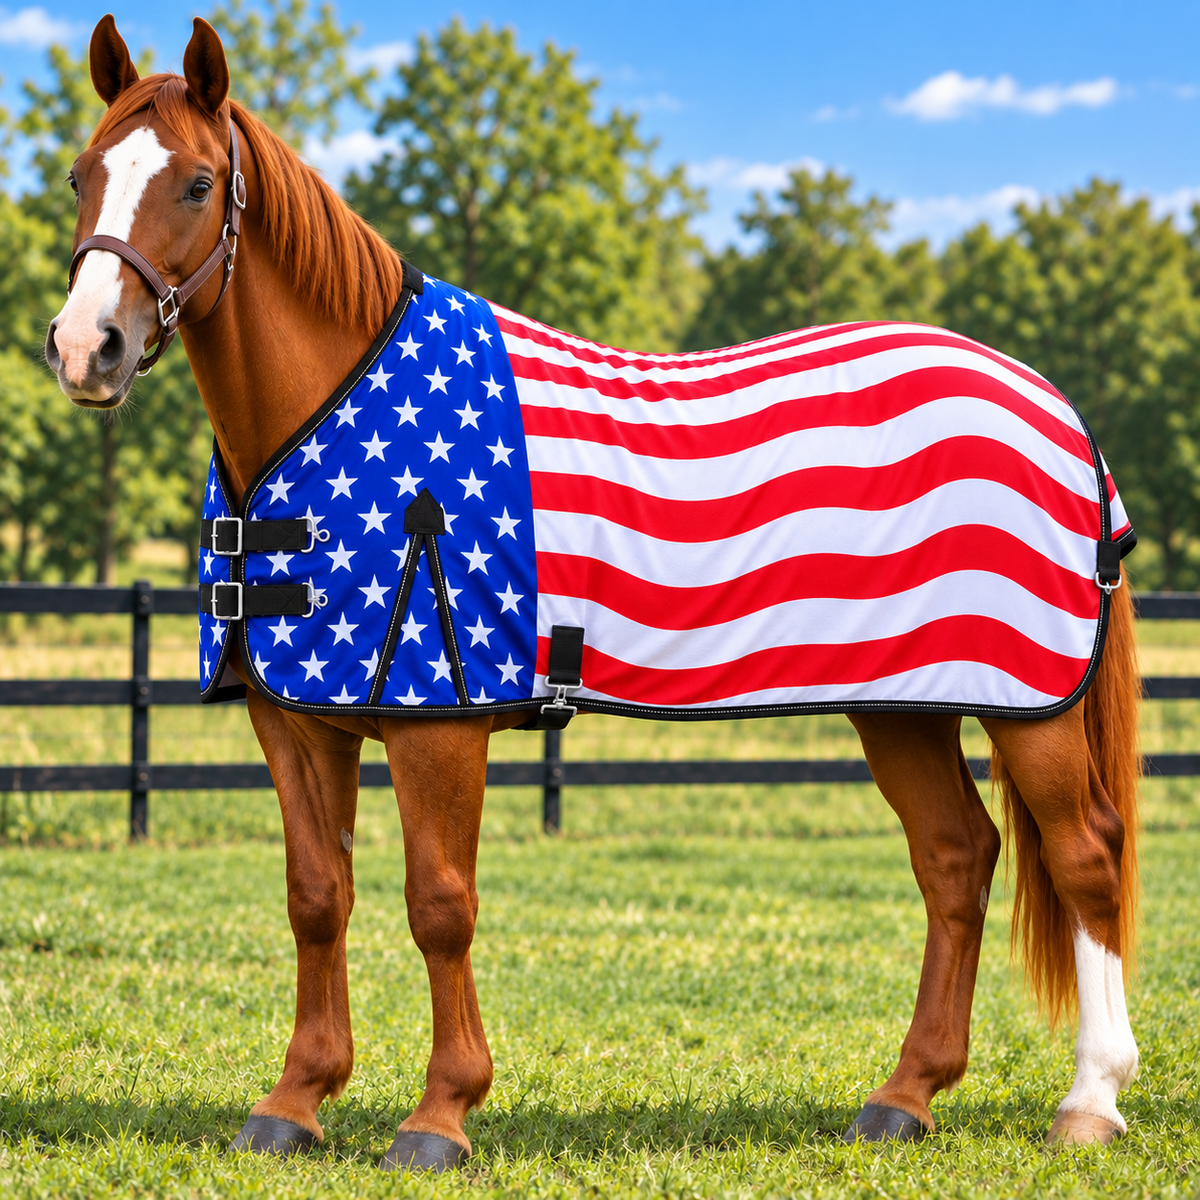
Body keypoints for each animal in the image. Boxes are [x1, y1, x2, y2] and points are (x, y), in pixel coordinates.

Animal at [44, 15, 1142, 1169]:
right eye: (81, 175)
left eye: (198, 183)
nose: (85, 348)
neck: (332, 410)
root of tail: (1055, 407)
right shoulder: (297, 718)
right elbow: (316, 899)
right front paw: (294, 1101)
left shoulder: (440, 727)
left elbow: (440, 905)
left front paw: (440, 1115)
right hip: (900, 704)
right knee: (956, 860)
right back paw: (906, 1095)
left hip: (1028, 707)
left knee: (1085, 856)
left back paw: (1089, 1101)